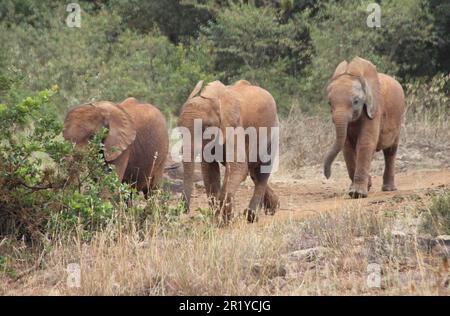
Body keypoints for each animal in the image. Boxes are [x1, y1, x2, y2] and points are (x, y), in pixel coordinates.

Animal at [178, 79, 280, 222]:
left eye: (206, 127)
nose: (184, 209)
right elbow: (209, 169)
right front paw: (218, 218)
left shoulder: (235, 126)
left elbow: (238, 166)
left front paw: (225, 219)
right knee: (253, 172)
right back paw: (273, 207)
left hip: (273, 132)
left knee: (261, 172)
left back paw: (251, 216)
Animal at [322, 57, 406, 198]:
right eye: (329, 103)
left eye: (356, 101)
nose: (327, 175)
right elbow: (347, 147)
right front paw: (361, 188)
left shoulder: (374, 109)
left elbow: (365, 142)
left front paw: (357, 194)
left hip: (399, 118)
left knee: (390, 151)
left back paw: (388, 189)